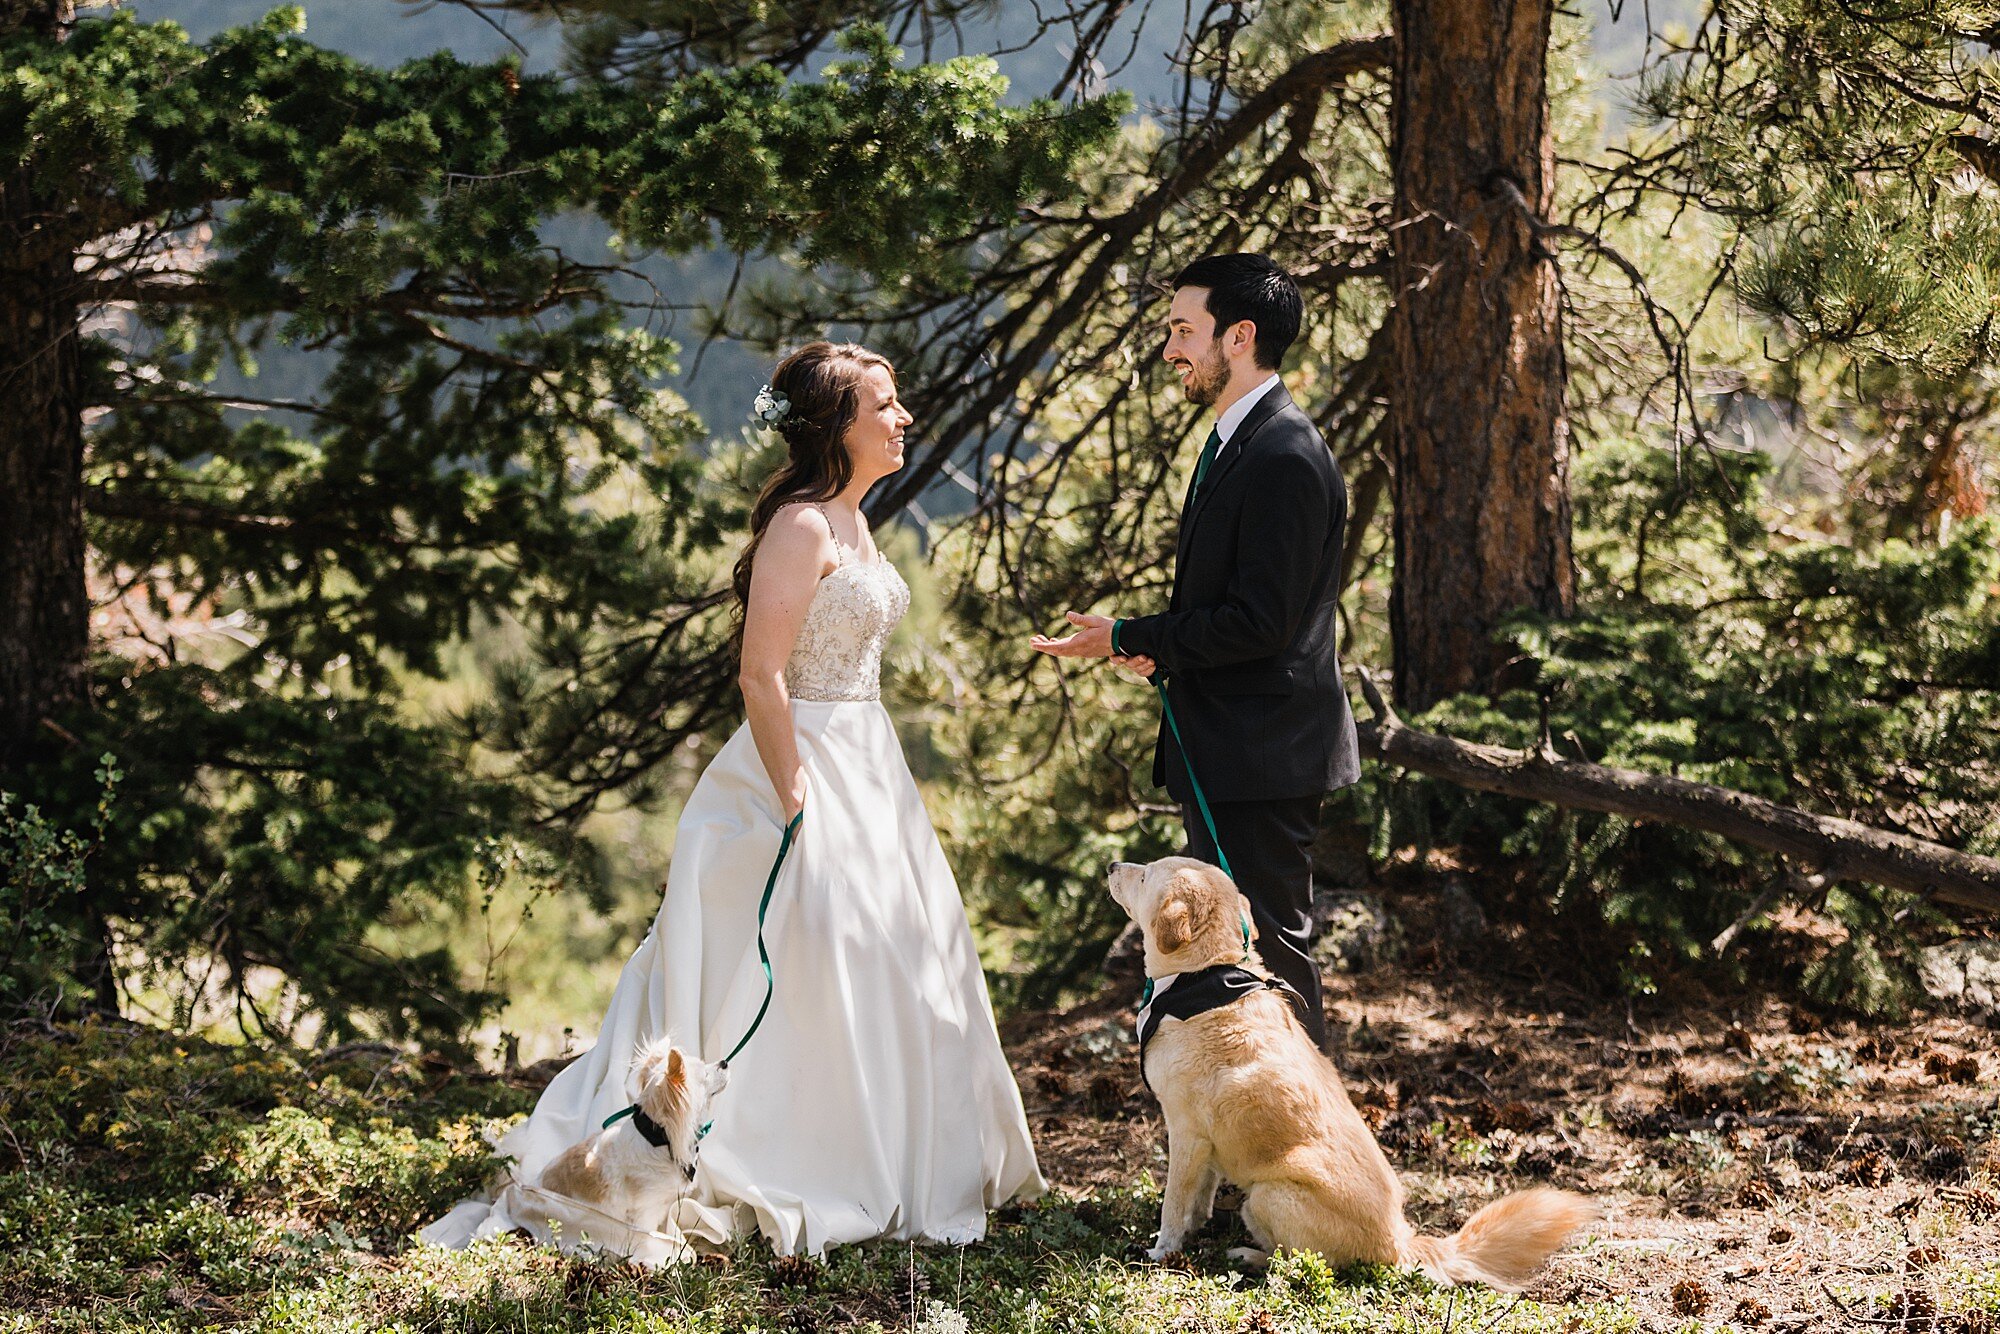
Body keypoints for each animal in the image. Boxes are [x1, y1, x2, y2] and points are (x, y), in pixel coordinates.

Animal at [1112, 860, 1592, 1288]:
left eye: (1145, 873)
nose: (1113, 865)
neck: (1204, 978)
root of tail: (1398, 1242)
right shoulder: (1205, 1144)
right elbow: (1198, 1200)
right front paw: (1196, 1228)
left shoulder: (1185, 1132)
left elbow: (1174, 1205)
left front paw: (1161, 1251)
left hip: (1267, 1196)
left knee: (1301, 1262)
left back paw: (1249, 1255)